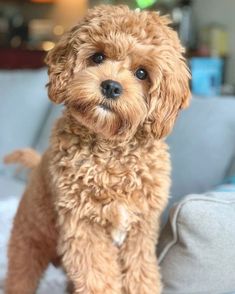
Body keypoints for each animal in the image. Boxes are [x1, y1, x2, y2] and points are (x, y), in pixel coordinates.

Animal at [4, 5, 190, 294]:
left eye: (142, 73)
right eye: (98, 57)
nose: (111, 86)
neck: (110, 153)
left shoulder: (140, 232)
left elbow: (142, 276)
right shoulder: (84, 228)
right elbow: (98, 279)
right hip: (28, 242)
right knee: (18, 277)